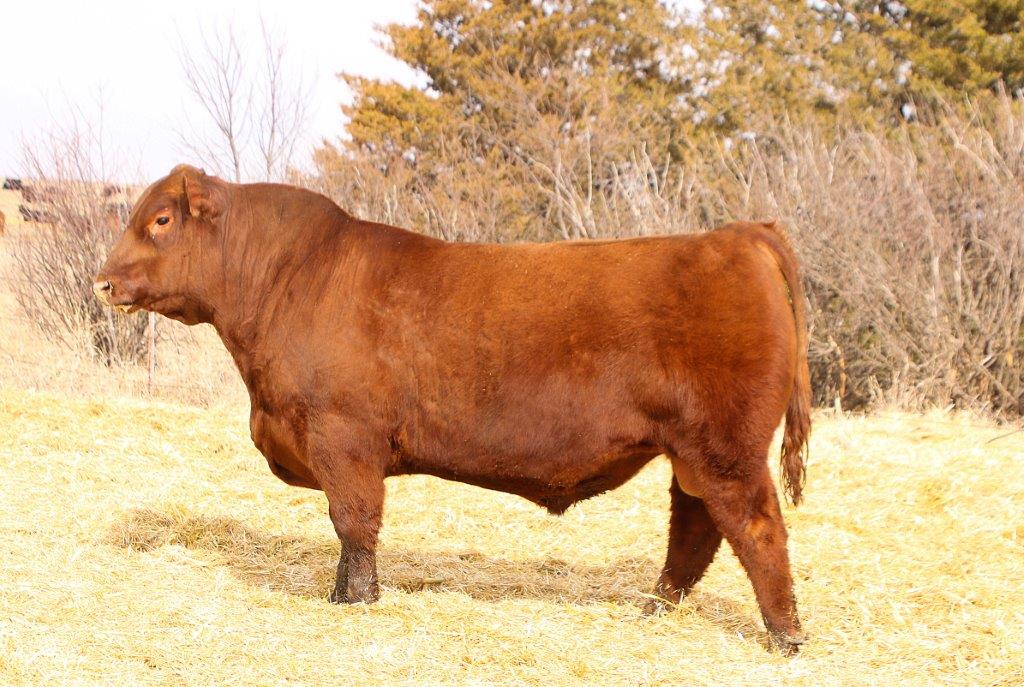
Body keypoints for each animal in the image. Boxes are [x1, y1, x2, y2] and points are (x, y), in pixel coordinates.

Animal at [94, 165, 811, 653]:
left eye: (160, 220)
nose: (102, 281)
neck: (287, 279)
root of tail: (735, 236)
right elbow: (346, 532)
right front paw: (339, 593)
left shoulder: (342, 437)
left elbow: (354, 523)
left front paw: (359, 599)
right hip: (692, 452)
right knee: (694, 531)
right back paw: (654, 608)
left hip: (726, 448)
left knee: (756, 528)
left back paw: (785, 635)